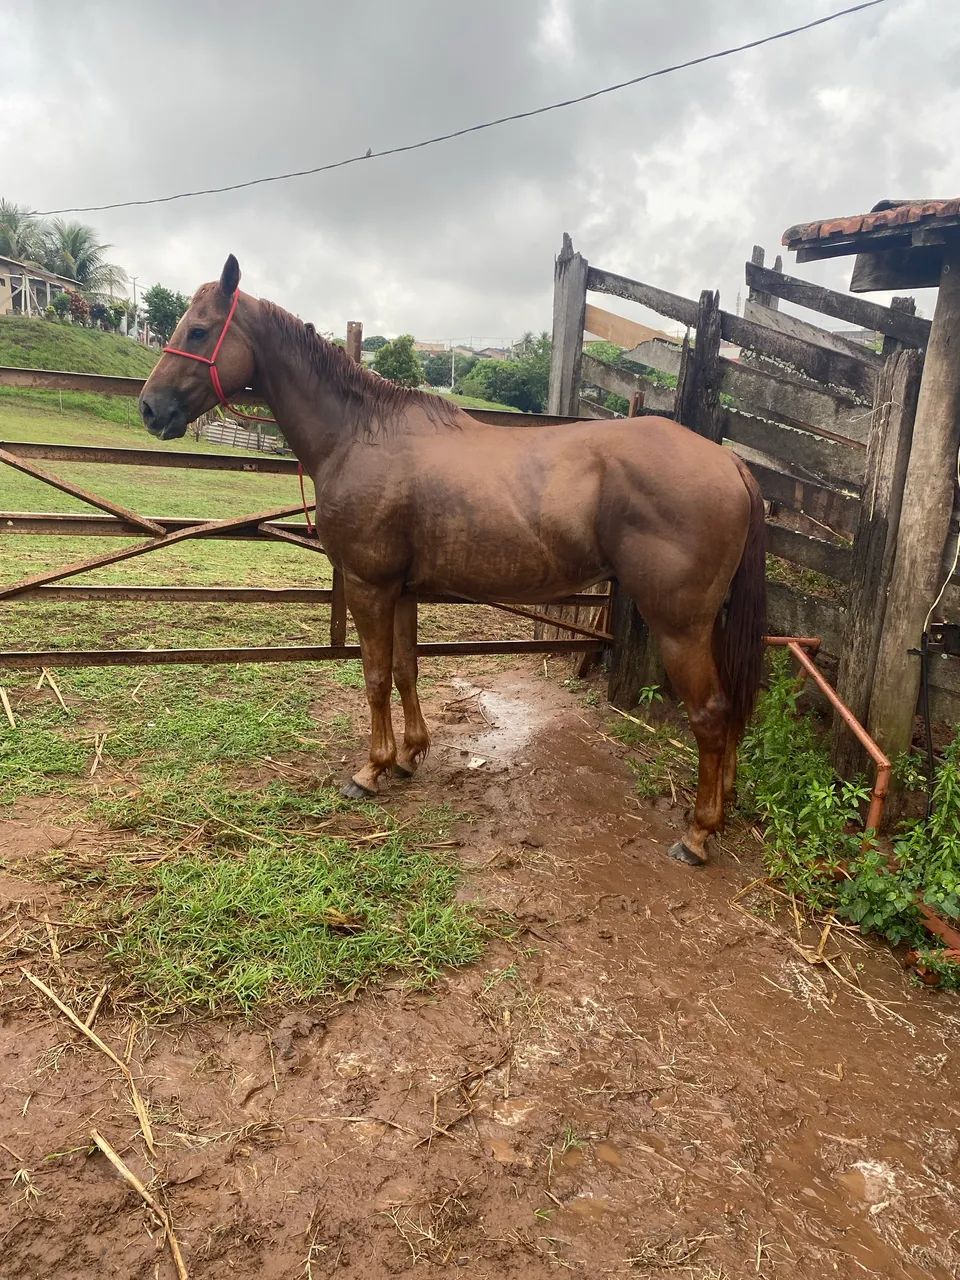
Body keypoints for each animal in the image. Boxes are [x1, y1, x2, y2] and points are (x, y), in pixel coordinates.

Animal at [139, 256, 766, 867]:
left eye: (198, 330)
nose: (149, 408)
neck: (360, 435)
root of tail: (730, 463)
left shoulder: (368, 586)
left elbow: (373, 676)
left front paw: (371, 769)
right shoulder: (402, 591)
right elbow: (404, 670)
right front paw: (410, 755)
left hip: (679, 627)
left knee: (711, 714)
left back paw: (697, 834)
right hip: (707, 625)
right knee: (731, 710)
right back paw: (723, 807)